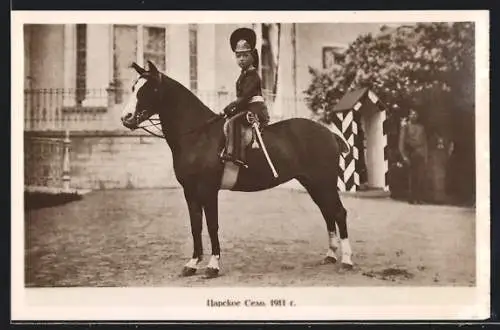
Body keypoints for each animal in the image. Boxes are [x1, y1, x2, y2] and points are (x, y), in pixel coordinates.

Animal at [120, 60, 354, 278]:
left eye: (149, 88)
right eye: (133, 87)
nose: (126, 118)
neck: (198, 134)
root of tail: (329, 133)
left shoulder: (208, 190)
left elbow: (212, 225)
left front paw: (213, 265)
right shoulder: (190, 192)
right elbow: (196, 226)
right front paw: (192, 263)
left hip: (324, 183)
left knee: (339, 213)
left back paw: (347, 261)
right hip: (314, 184)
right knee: (327, 212)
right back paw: (330, 255)